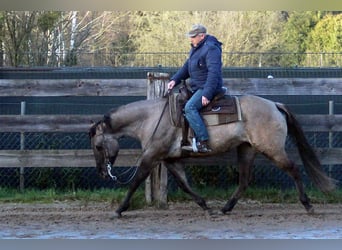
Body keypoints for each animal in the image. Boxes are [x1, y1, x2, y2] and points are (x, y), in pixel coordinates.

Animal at [89, 94, 336, 217]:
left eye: (98, 147)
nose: (101, 172)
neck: (151, 118)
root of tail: (275, 105)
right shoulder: (170, 160)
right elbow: (185, 184)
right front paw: (205, 206)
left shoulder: (152, 156)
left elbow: (136, 181)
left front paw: (120, 209)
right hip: (246, 149)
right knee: (244, 180)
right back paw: (226, 208)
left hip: (272, 149)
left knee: (293, 169)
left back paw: (308, 205)